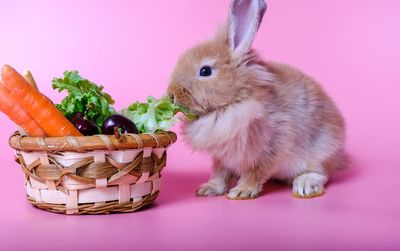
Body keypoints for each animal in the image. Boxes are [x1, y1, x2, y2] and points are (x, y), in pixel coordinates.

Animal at [167, 0, 346, 200]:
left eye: (205, 71)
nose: (171, 95)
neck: (234, 102)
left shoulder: (268, 149)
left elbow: (254, 173)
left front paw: (241, 192)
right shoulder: (222, 158)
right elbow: (220, 173)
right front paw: (208, 189)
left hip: (322, 150)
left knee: (322, 173)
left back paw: (304, 185)